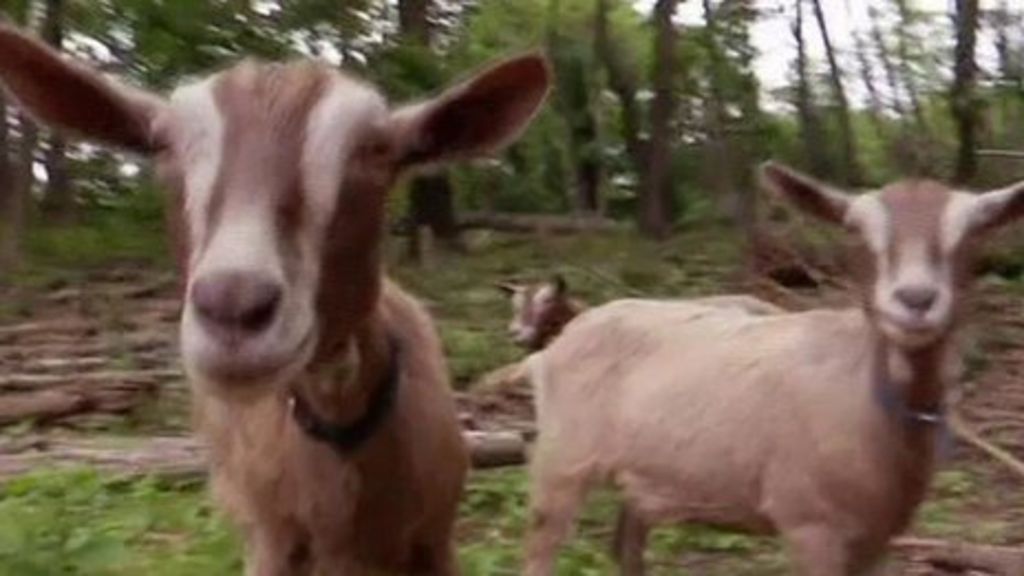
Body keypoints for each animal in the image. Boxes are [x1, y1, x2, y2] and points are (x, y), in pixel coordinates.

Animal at [524, 163, 1024, 576]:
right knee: (542, 545)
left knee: (627, 544)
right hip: (561, 458)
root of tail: (557, 342)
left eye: (974, 233)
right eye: (856, 232)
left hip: (643, 477)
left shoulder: (875, 536)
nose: (916, 300)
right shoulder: (809, 523)